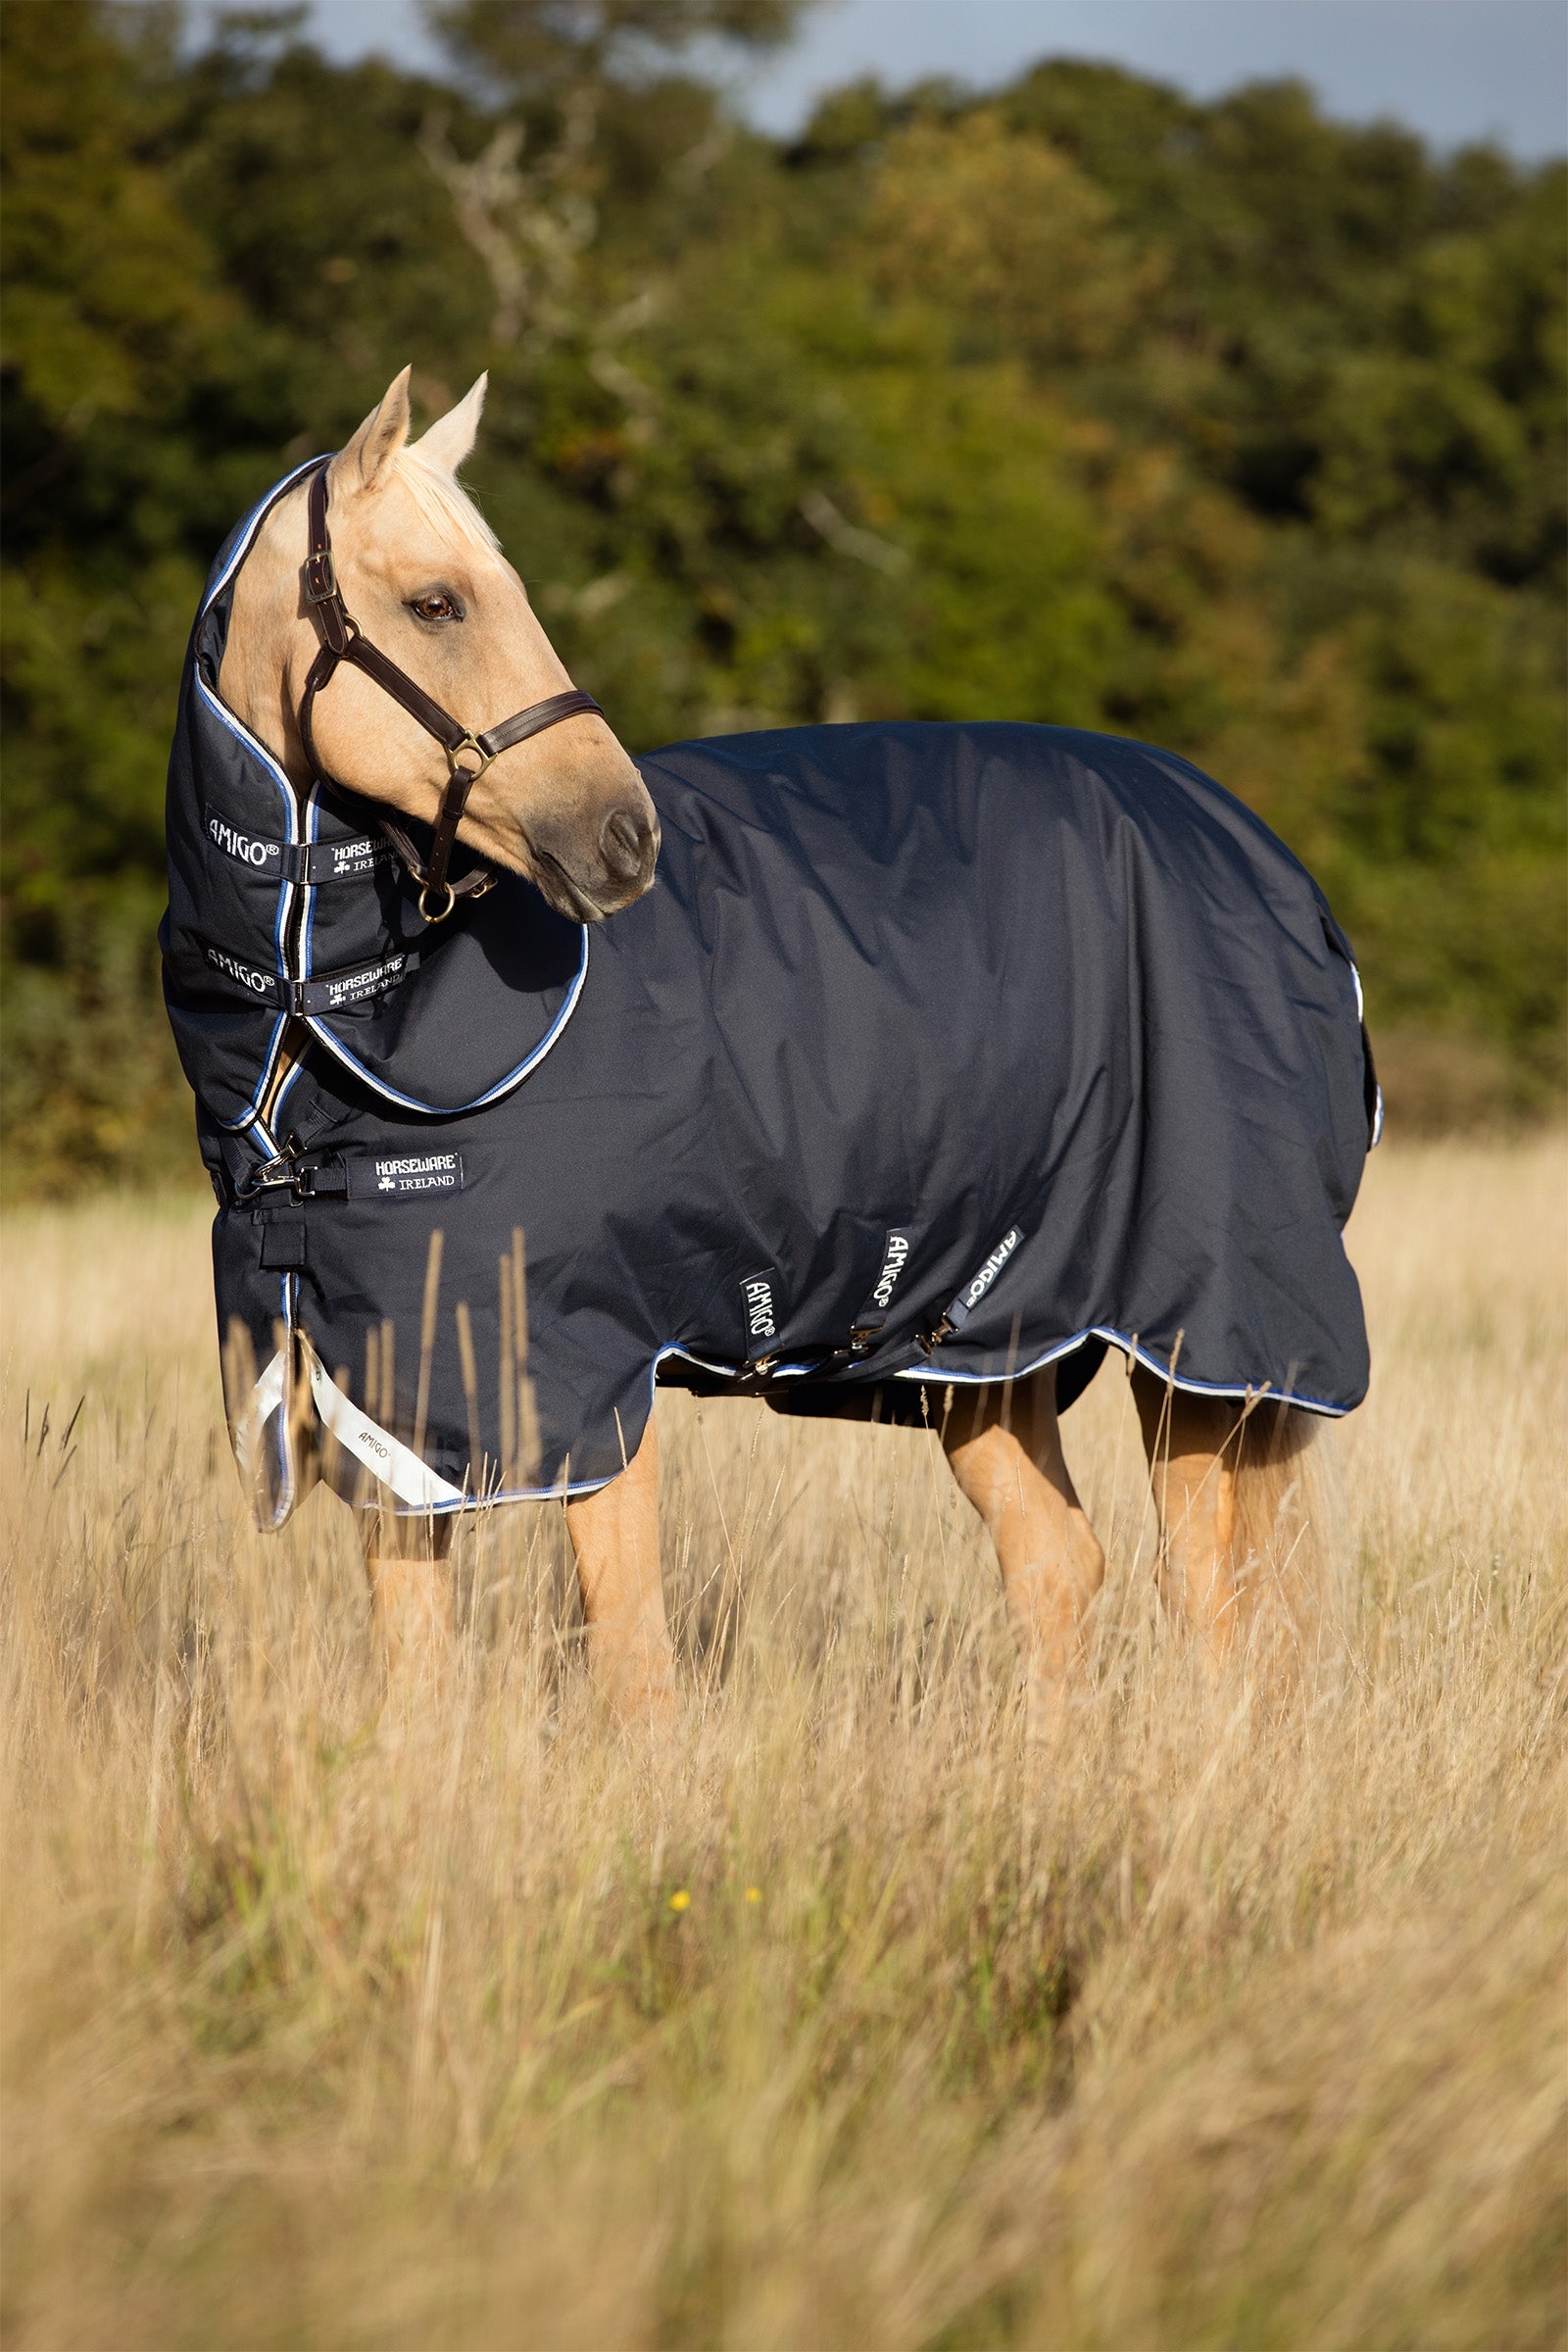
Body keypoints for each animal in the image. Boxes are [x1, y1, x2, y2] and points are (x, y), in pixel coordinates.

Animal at [164, 367, 1376, 1722]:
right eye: (436, 603)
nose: (622, 838)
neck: (323, 1027)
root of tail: (1275, 872)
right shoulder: (396, 1407)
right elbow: (418, 1687)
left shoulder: (590, 1379)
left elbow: (631, 1663)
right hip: (989, 1342)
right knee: (1059, 1564)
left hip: (1203, 1340)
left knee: (1209, 1589)